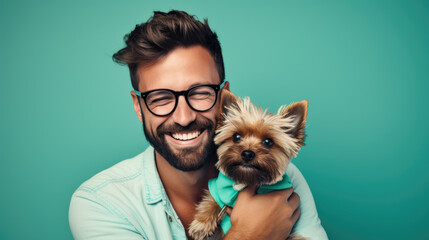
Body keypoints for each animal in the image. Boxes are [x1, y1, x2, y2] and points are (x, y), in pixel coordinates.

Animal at [189, 90, 306, 240]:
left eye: (268, 142)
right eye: (236, 137)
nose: (247, 154)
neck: (245, 181)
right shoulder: (218, 187)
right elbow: (211, 199)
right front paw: (201, 224)